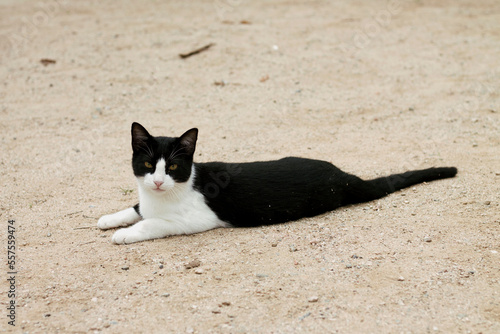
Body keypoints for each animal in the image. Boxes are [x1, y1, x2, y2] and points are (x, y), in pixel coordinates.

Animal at [96, 122, 458, 243]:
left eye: (172, 167)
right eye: (148, 165)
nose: (158, 182)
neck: (161, 198)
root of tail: (341, 174)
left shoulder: (192, 219)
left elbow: (152, 223)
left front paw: (123, 234)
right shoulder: (145, 199)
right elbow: (136, 208)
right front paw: (109, 219)